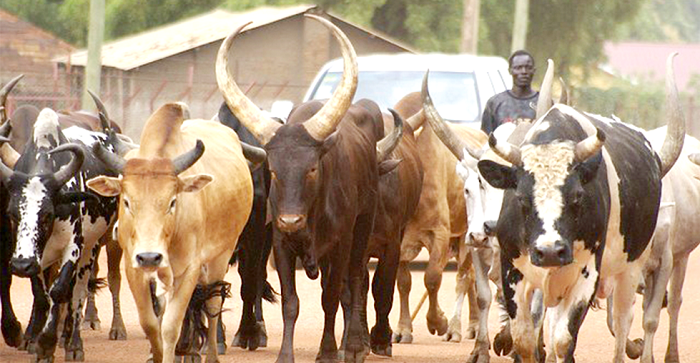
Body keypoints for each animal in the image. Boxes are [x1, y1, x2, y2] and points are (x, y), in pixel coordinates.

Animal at [1, 106, 120, 362]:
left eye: (47, 214)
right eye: (12, 213)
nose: (21, 266)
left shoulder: (73, 247)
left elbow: (60, 291)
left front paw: (47, 344)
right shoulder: (34, 258)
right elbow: (41, 295)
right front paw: (37, 343)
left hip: (91, 249)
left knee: (78, 293)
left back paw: (73, 343)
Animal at [85, 103, 254, 363]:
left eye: (172, 202)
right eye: (126, 201)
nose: (149, 257)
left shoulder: (189, 270)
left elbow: (170, 327)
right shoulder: (134, 268)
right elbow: (151, 324)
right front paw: (156, 354)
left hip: (221, 254)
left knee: (213, 304)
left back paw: (210, 354)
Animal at [216, 14, 396, 363]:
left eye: (312, 168)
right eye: (273, 169)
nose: (290, 221)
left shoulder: (340, 244)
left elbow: (332, 297)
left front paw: (329, 352)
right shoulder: (280, 245)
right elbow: (290, 303)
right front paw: (284, 355)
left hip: (362, 228)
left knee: (354, 282)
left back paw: (354, 345)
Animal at [476, 54, 684, 363]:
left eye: (577, 197)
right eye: (521, 198)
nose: (550, 251)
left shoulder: (587, 275)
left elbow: (564, 340)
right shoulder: (512, 270)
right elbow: (525, 339)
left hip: (632, 267)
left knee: (623, 322)